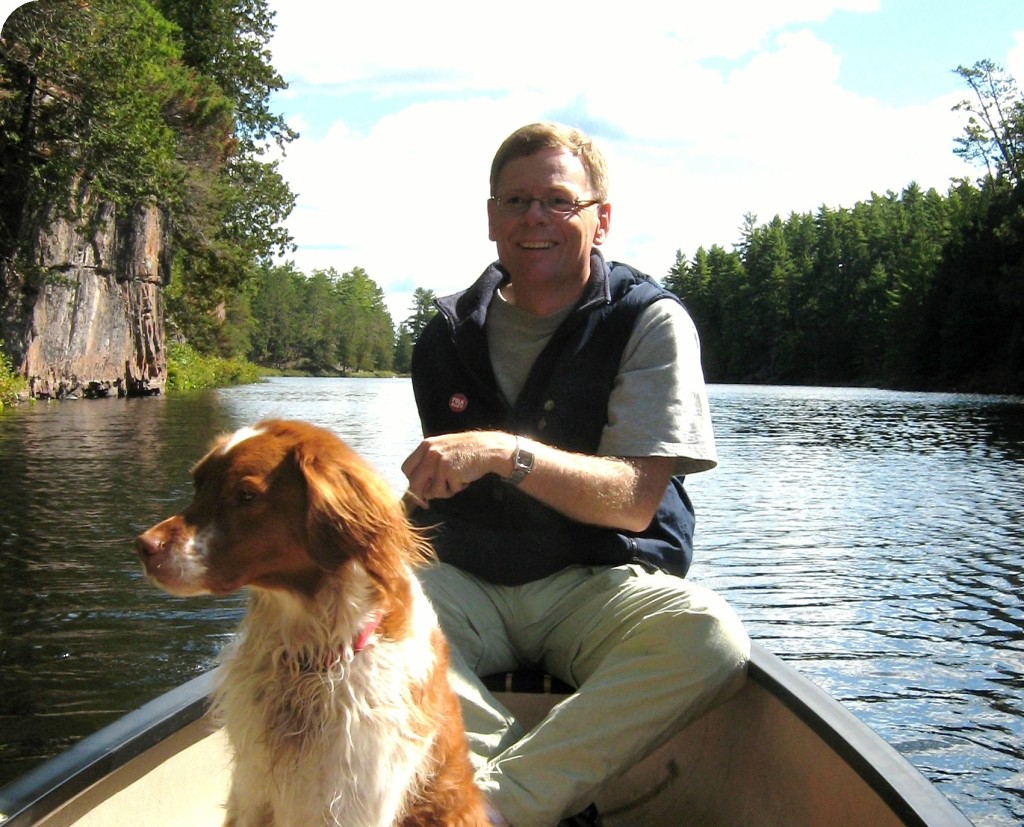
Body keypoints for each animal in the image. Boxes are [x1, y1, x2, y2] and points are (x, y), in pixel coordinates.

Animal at [136, 419, 487, 827]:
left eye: (245, 495)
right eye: (197, 483)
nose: (143, 546)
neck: (308, 658)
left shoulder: (353, 801)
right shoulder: (251, 790)